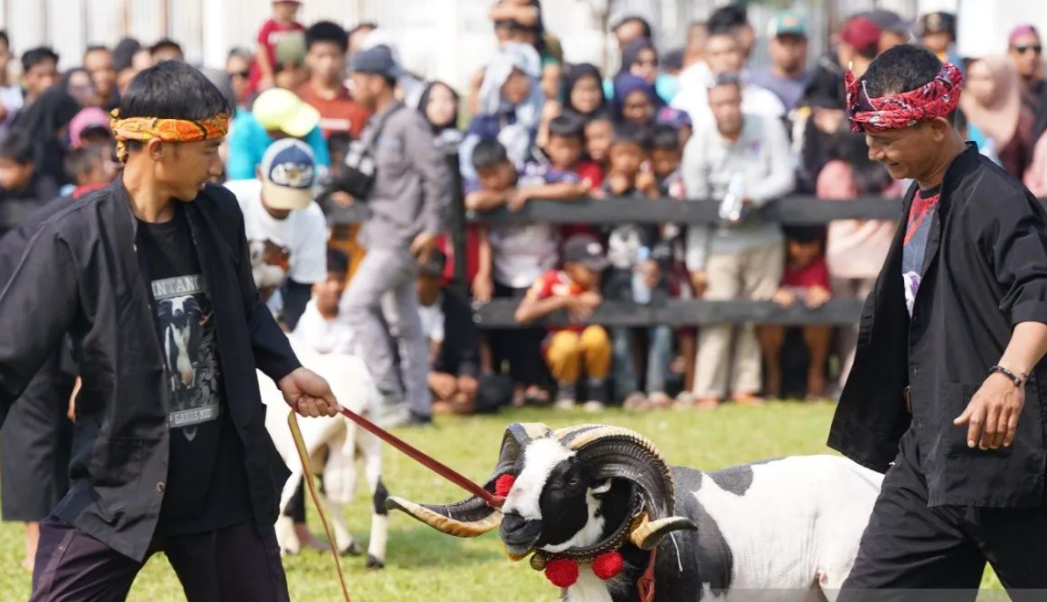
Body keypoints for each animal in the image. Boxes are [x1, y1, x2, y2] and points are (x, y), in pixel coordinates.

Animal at [259, 339, 391, 569]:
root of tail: (354, 396)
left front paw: (289, 547)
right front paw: (347, 546)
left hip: (302, 446)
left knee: (287, 500)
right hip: (370, 443)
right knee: (379, 495)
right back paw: (374, 558)